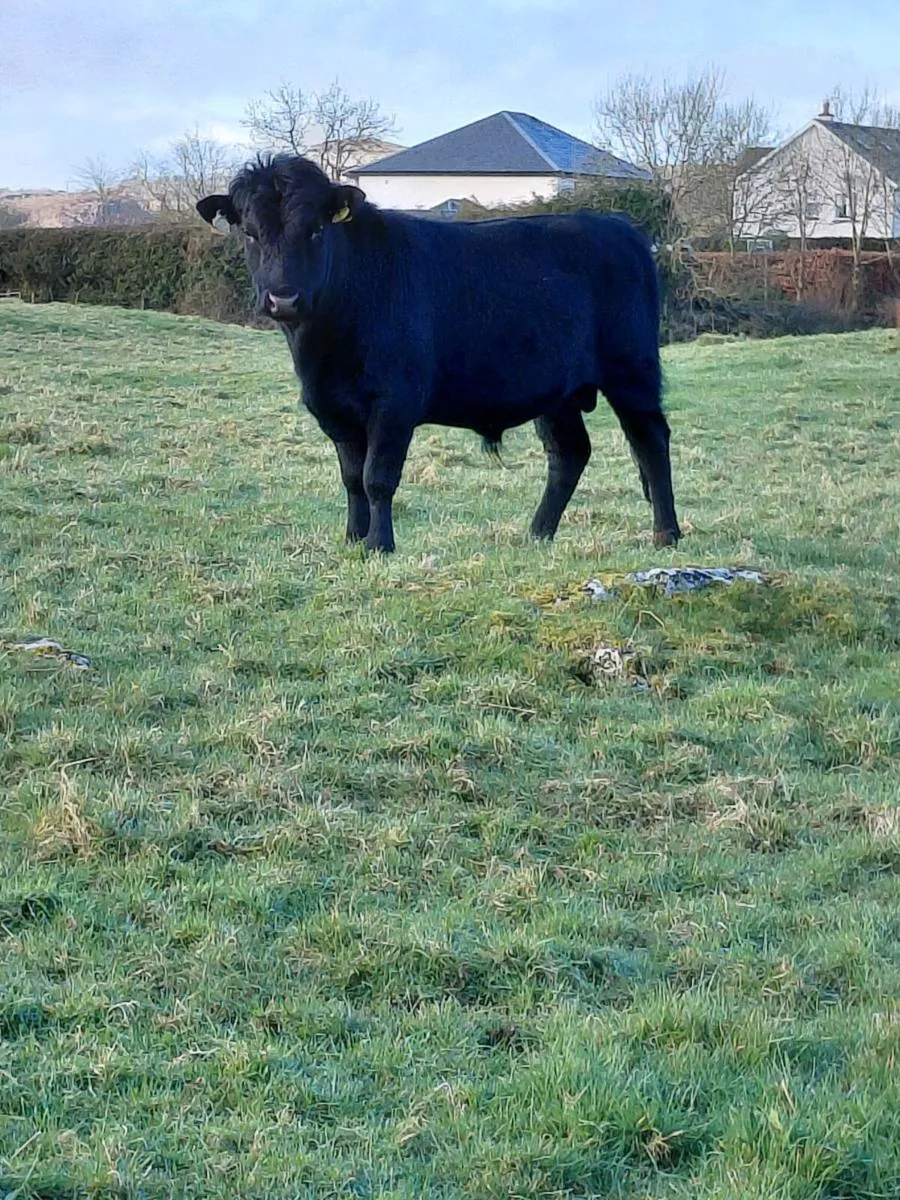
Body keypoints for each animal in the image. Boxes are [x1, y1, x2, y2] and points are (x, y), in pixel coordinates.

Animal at [197, 154, 681, 554]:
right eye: (250, 233)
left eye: (316, 230)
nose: (283, 298)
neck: (322, 350)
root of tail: (619, 227)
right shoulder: (333, 408)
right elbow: (352, 479)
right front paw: (353, 538)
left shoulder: (395, 402)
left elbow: (377, 477)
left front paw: (379, 545)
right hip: (557, 392)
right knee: (569, 453)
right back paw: (538, 533)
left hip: (632, 372)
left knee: (651, 442)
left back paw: (666, 534)